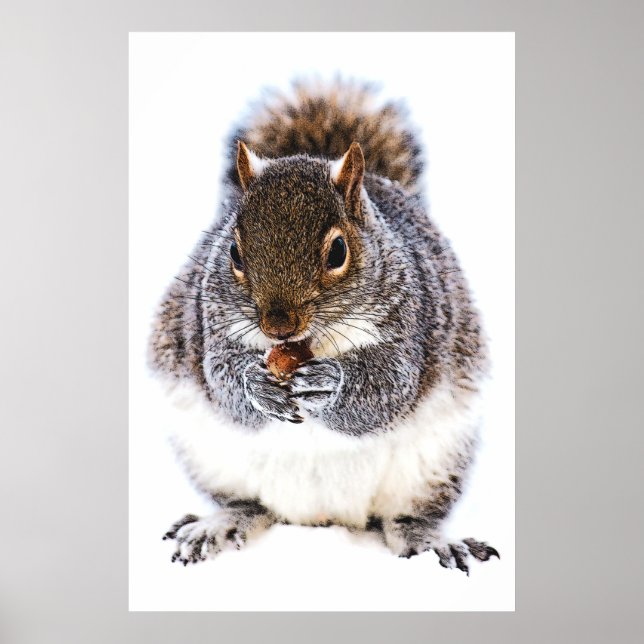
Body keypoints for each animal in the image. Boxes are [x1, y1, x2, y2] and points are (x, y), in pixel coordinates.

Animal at [150, 79, 499, 573]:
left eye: (338, 252)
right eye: (233, 252)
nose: (278, 326)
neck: (309, 343)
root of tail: (322, 517)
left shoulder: (411, 327)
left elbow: (388, 391)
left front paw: (330, 384)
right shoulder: (209, 326)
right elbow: (222, 382)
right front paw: (256, 386)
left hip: (434, 464)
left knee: (406, 517)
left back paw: (431, 541)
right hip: (211, 457)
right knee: (249, 505)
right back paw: (218, 525)